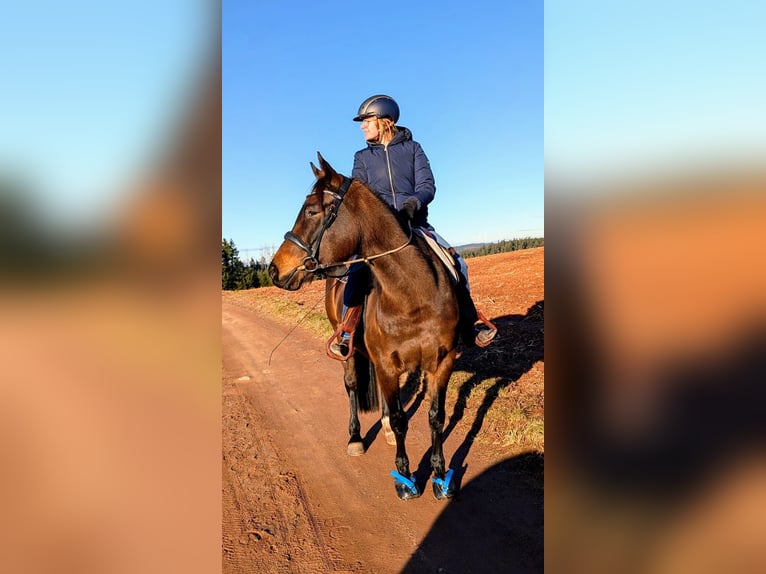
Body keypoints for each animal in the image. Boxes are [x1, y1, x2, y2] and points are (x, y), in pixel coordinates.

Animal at [268, 152, 460, 500]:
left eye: (312, 211)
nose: (275, 270)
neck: (412, 295)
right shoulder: (385, 363)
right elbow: (400, 419)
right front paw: (406, 479)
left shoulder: (442, 361)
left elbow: (436, 417)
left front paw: (440, 476)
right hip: (347, 348)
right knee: (352, 385)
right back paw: (356, 438)